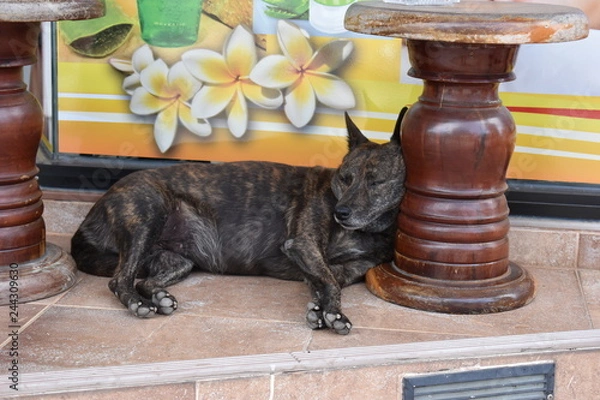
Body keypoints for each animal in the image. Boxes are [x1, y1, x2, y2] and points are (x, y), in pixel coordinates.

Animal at [70, 108, 408, 334]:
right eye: (345, 178)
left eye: (376, 182)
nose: (341, 212)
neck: (364, 231)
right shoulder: (302, 245)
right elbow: (327, 283)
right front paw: (332, 314)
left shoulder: (340, 268)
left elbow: (326, 282)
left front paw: (320, 309)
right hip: (146, 213)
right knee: (119, 280)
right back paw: (139, 303)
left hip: (178, 261)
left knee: (145, 280)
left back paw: (159, 297)